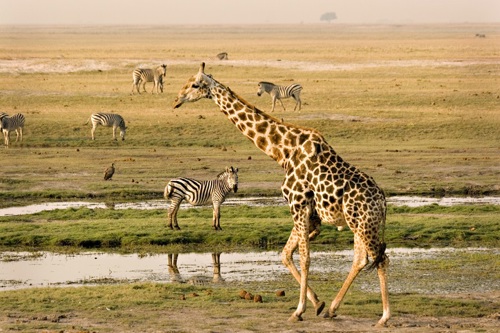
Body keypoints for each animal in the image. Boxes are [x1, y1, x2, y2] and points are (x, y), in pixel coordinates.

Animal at [172, 62, 390, 324]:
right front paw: (317, 304)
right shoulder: (307, 213)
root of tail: (383, 202)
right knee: (361, 259)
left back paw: (384, 317)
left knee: (380, 259)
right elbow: (286, 255)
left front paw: (298, 310)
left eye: (195, 85)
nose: (177, 99)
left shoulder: (298, 204)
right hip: (358, 224)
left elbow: (304, 258)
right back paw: (332, 309)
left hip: (365, 224)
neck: (283, 152)